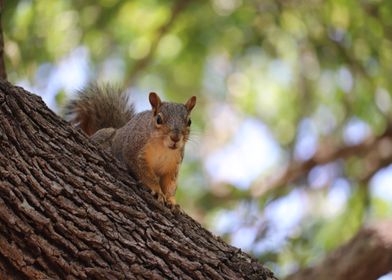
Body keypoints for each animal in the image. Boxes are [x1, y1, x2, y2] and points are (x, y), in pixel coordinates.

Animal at [66, 84, 199, 207]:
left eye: (189, 122)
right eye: (158, 119)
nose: (175, 138)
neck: (163, 148)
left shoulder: (172, 166)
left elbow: (170, 184)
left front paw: (171, 200)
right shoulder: (135, 152)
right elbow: (145, 174)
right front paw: (157, 190)